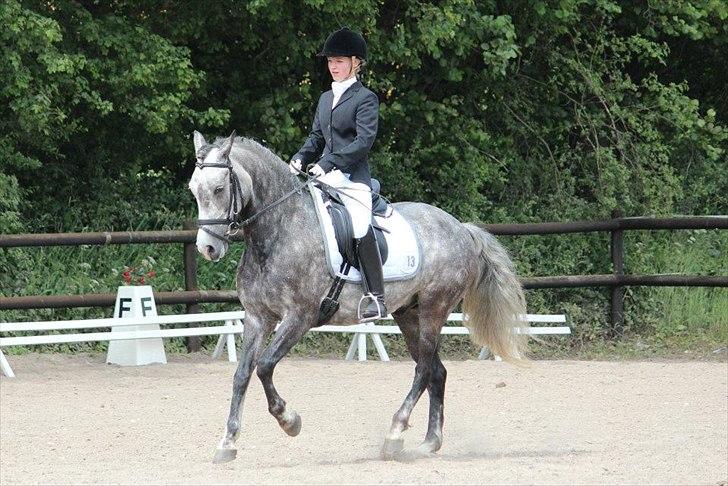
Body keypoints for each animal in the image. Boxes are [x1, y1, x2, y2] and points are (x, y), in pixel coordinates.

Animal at [188, 131, 528, 463]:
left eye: (219, 189)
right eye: (194, 189)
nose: (208, 248)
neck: (278, 231)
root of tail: (460, 227)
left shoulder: (299, 317)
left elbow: (265, 366)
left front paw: (290, 421)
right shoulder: (258, 317)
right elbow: (242, 374)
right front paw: (228, 442)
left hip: (435, 306)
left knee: (423, 369)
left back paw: (394, 434)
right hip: (408, 312)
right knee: (436, 370)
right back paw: (430, 442)